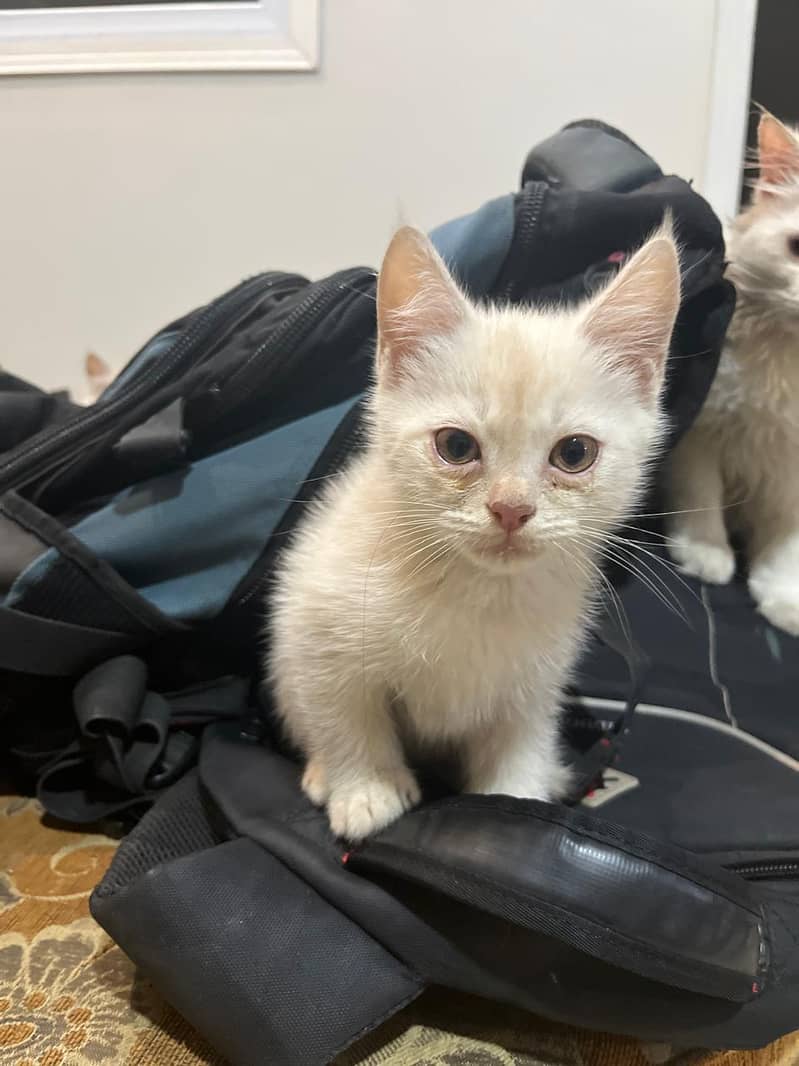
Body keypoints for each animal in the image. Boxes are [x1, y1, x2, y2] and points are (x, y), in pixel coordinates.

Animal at [270, 224, 681, 840]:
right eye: (457, 445)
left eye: (575, 453)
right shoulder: (317, 629)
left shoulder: (535, 684)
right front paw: (366, 788)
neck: (477, 590)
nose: (510, 509)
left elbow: (520, 744)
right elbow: (346, 715)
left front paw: (517, 799)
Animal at [669, 116, 799, 631]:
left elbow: (787, 546)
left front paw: (784, 597)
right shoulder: (702, 434)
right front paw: (705, 554)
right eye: (797, 248)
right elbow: (702, 497)